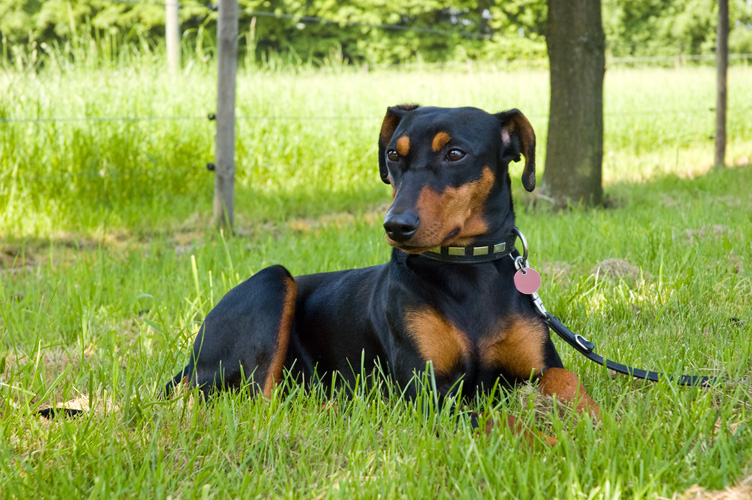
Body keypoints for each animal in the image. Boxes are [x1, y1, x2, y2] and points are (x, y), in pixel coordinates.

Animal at [164, 105, 600, 438]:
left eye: (456, 154)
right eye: (393, 154)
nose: (396, 226)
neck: (467, 268)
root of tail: (192, 360)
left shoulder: (540, 366)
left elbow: (567, 380)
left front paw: (595, 421)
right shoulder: (428, 391)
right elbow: (501, 421)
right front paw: (557, 441)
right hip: (271, 283)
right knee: (259, 401)